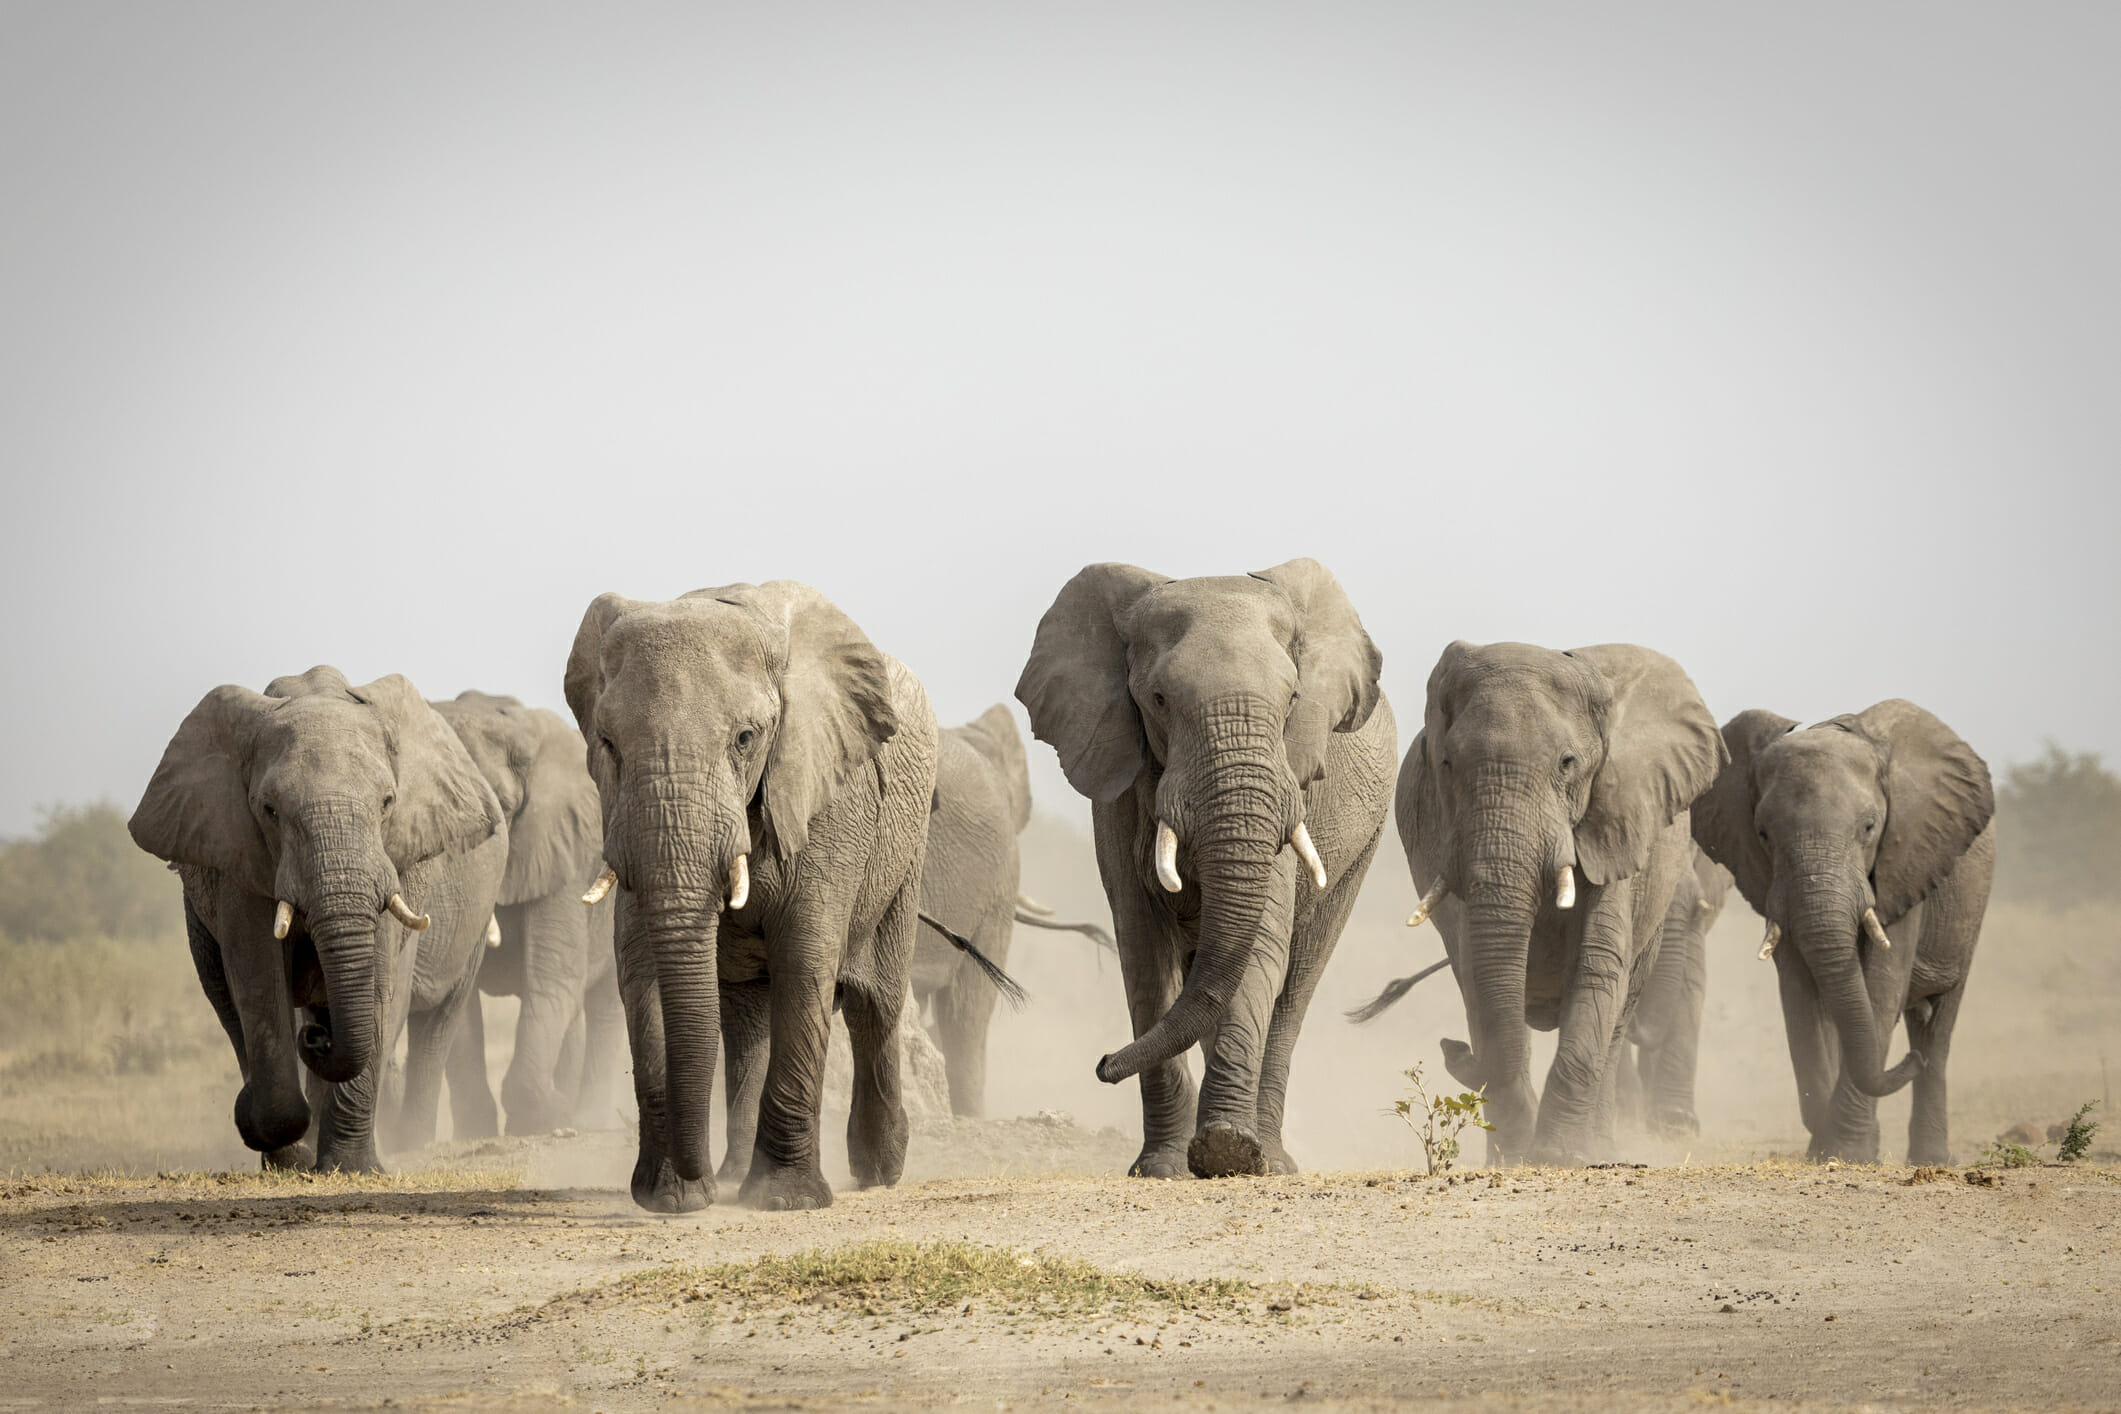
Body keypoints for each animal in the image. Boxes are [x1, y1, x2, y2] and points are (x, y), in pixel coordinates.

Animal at [128, 666, 507, 1172]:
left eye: (387, 802)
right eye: (269, 811)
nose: (318, 1039)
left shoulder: (397, 860)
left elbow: (380, 978)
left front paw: (351, 1168)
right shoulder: (239, 857)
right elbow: (257, 977)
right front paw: (284, 1146)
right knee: (226, 1000)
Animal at [432, 691, 625, 1138]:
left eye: (503, 808)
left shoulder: (566, 851)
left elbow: (554, 976)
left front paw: (548, 1116)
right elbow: (459, 1000)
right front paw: (480, 1132)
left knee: (601, 1003)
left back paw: (586, 1118)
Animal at [564, 581, 940, 1213]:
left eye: (745, 739)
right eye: (608, 744)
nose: (696, 1178)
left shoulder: (827, 799)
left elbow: (806, 961)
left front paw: (785, 1200)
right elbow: (641, 969)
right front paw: (671, 1200)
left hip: (905, 851)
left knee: (876, 1007)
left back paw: (878, 1170)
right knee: (747, 1023)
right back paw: (736, 1172)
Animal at [1016, 558, 1395, 1180]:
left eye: (1293, 697)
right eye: (1159, 699)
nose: (1102, 1064)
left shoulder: (1289, 786)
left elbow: (1261, 946)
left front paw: (1228, 1152)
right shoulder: (1120, 793)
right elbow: (1143, 952)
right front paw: (1163, 1168)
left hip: (1363, 847)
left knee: (1293, 989)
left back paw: (1274, 1157)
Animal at [1691, 701, 1995, 1165]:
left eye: (1869, 828)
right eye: (1763, 833)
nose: (1908, 1062)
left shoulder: (1904, 864)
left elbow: (1880, 987)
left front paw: (1849, 1151)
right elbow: (1801, 993)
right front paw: (1829, 1147)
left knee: (1938, 1026)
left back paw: (1931, 1154)